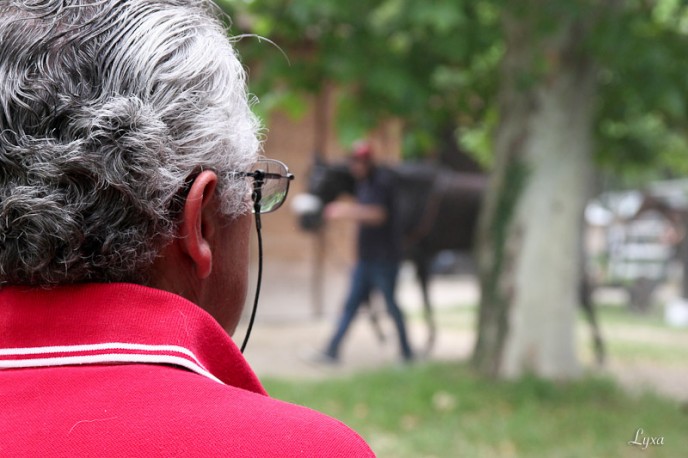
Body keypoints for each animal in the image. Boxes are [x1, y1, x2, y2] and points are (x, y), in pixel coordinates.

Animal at [296, 159, 608, 364]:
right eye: (307, 178)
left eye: (323, 181)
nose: (305, 220)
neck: (405, 191)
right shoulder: (414, 257)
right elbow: (379, 294)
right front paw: (405, 339)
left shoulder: (412, 253)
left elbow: (390, 295)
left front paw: (408, 342)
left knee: (583, 292)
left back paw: (600, 350)